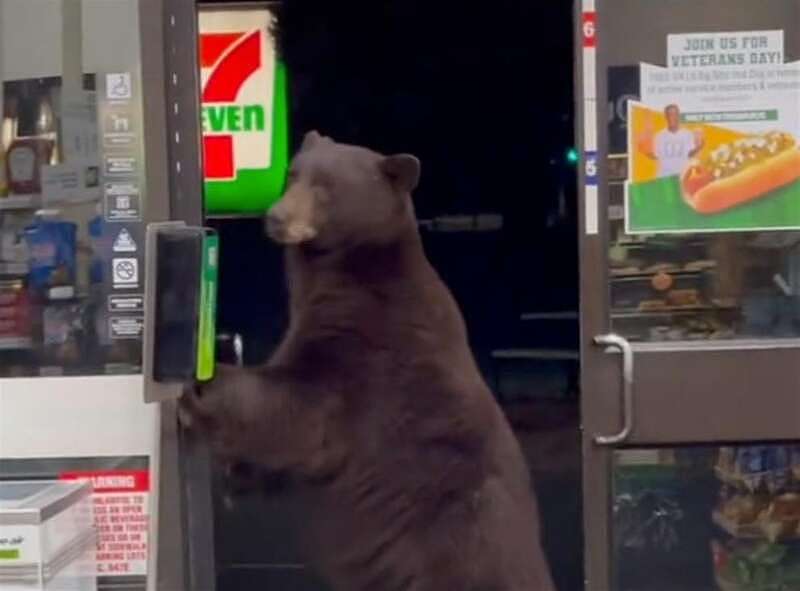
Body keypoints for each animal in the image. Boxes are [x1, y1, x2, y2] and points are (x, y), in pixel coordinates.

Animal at [180, 133, 556, 591]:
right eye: (292, 174)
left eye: (326, 188)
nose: (277, 217)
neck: (353, 268)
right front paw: (238, 473)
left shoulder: (371, 346)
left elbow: (303, 410)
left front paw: (202, 385)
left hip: (456, 554)